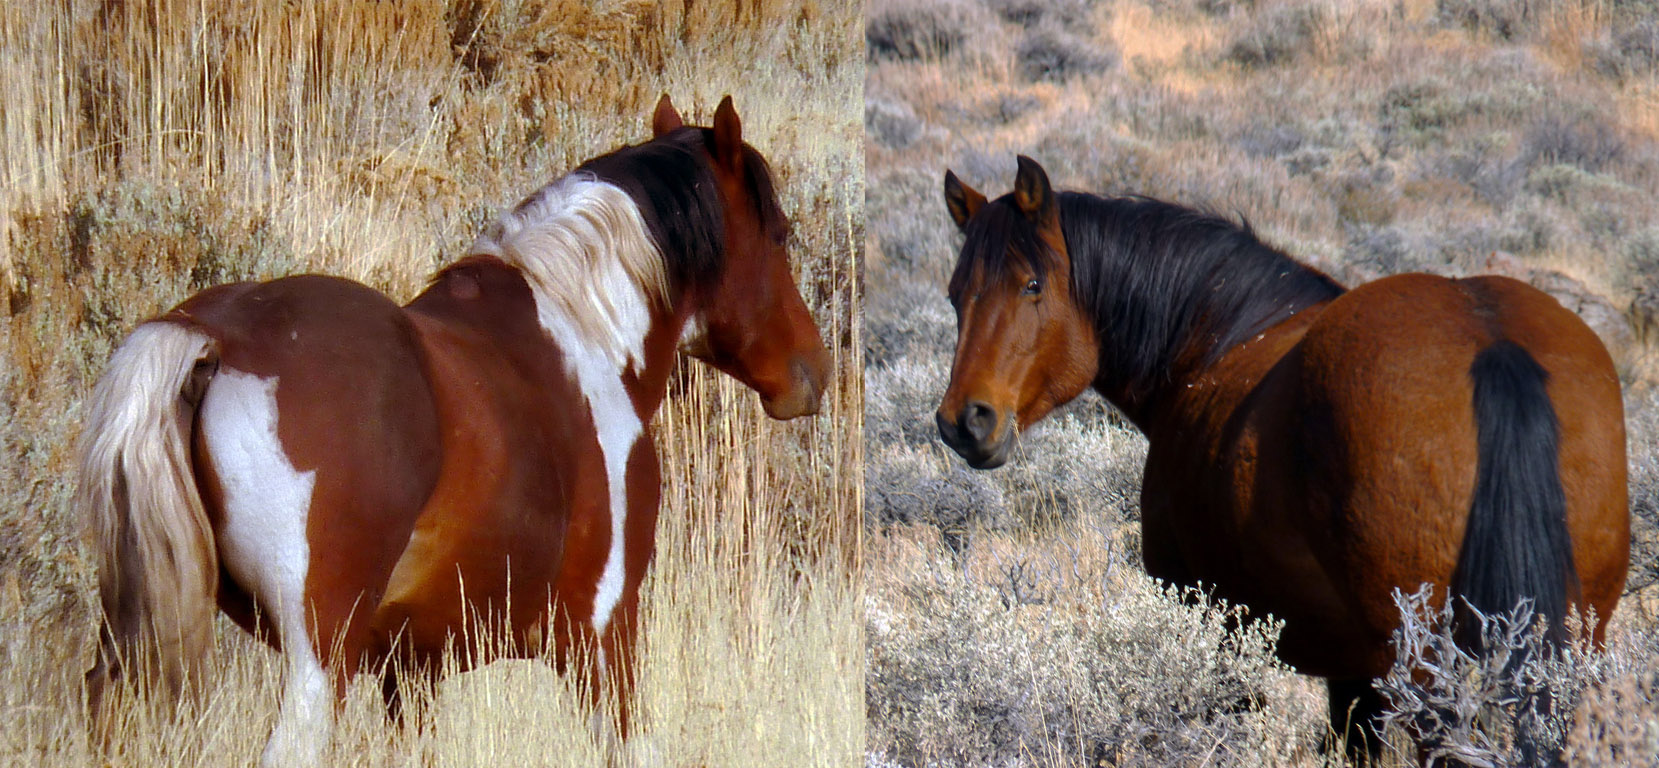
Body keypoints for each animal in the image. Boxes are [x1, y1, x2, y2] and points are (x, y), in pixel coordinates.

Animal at [76, 94, 829, 765]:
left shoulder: (412, 667)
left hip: (140, 648)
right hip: (318, 664)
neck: (580, 333)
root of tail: (212, 337)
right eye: (780, 234)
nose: (812, 371)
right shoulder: (602, 633)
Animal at [934, 155, 1628, 762]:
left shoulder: (1217, 629)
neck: (1221, 334)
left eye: (1032, 285)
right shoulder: (1355, 674)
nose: (964, 421)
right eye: (955, 294)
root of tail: (1492, 343)